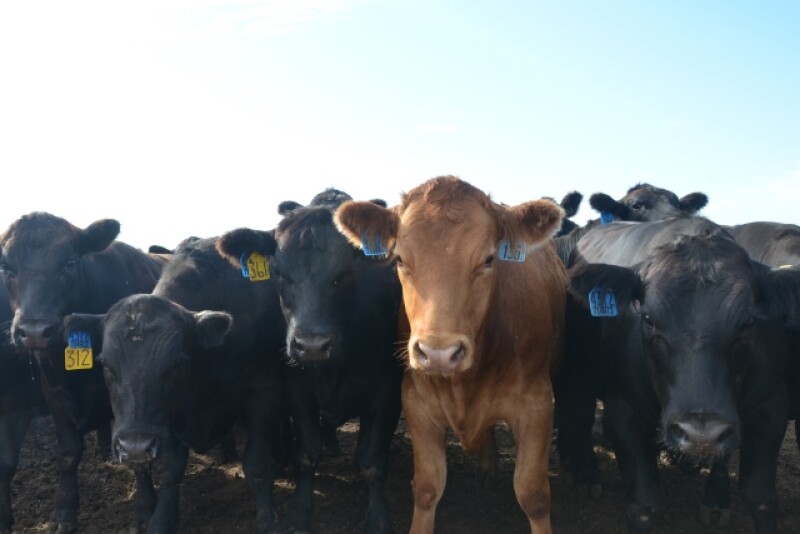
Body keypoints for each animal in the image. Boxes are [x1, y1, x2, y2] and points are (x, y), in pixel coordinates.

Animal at [0, 212, 165, 534]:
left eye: (69, 262)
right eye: (7, 268)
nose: (34, 331)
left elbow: (139, 454)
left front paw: (144, 511)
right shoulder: (52, 395)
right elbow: (67, 454)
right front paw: (64, 512)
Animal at [64, 235, 287, 533]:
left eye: (177, 363)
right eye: (106, 365)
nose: (134, 447)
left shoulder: (265, 390)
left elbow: (258, 464)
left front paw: (268, 519)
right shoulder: (167, 416)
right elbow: (171, 469)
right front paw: (161, 520)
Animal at [216, 189, 403, 533]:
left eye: (345, 274)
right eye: (279, 274)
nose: (312, 345)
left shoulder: (387, 389)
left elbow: (373, 461)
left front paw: (377, 517)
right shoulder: (297, 389)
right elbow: (307, 453)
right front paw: (301, 510)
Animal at [333, 175, 567, 534]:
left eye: (488, 259)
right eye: (399, 260)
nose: (438, 353)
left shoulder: (537, 403)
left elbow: (533, 494)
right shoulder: (415, 400)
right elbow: (428, 487)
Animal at [563, 217, 800, 533]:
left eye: (748, 322)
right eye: (648, 318)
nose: (701, 435)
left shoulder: (771, 407)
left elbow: (760, 498)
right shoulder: (623, 410)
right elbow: (643, 506)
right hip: (578, 373)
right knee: (580, 416)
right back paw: (587, 476)